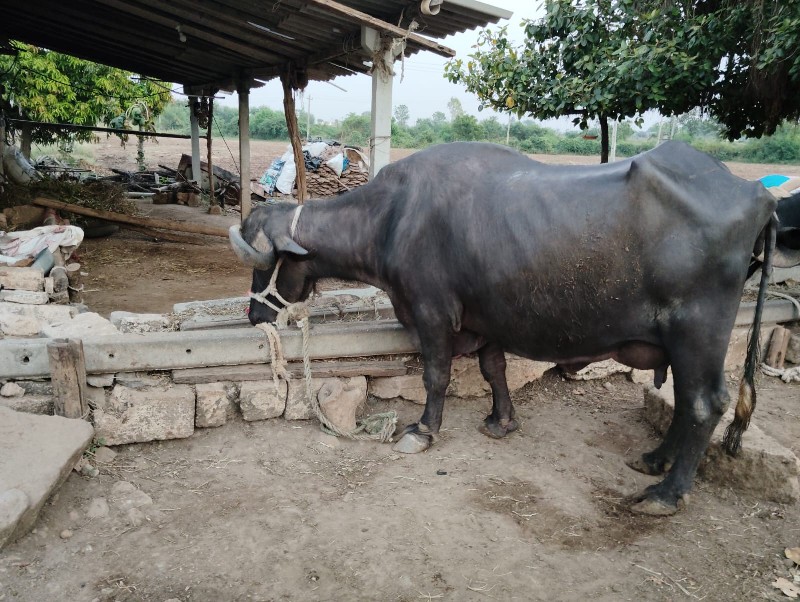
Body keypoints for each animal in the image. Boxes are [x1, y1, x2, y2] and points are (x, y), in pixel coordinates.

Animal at [230, 138, 776, 512]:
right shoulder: (485, 318)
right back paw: (655, 458)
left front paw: (423, 430)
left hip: (697, 332)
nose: (255, 313)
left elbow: (436, 375)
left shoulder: (430, 312)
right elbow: (494, 370)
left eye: (263, 263)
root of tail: (755, 195)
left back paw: (667, 491)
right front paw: (502, 420)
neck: (392, 217)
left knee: (705, 403)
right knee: (686, 401)